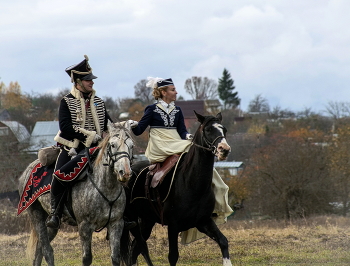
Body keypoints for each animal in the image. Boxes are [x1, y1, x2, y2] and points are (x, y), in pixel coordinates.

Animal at [18, 121, 135, 264]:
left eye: (131, 146)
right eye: (113, 145)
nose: (125, 173)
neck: (106, 187)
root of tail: (27, 170)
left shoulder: (116, 224)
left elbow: (115, 257)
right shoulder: (84, 226)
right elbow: (87, 258)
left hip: (50, 223)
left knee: (39, 249)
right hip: (36, 215)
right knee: (47, 251)